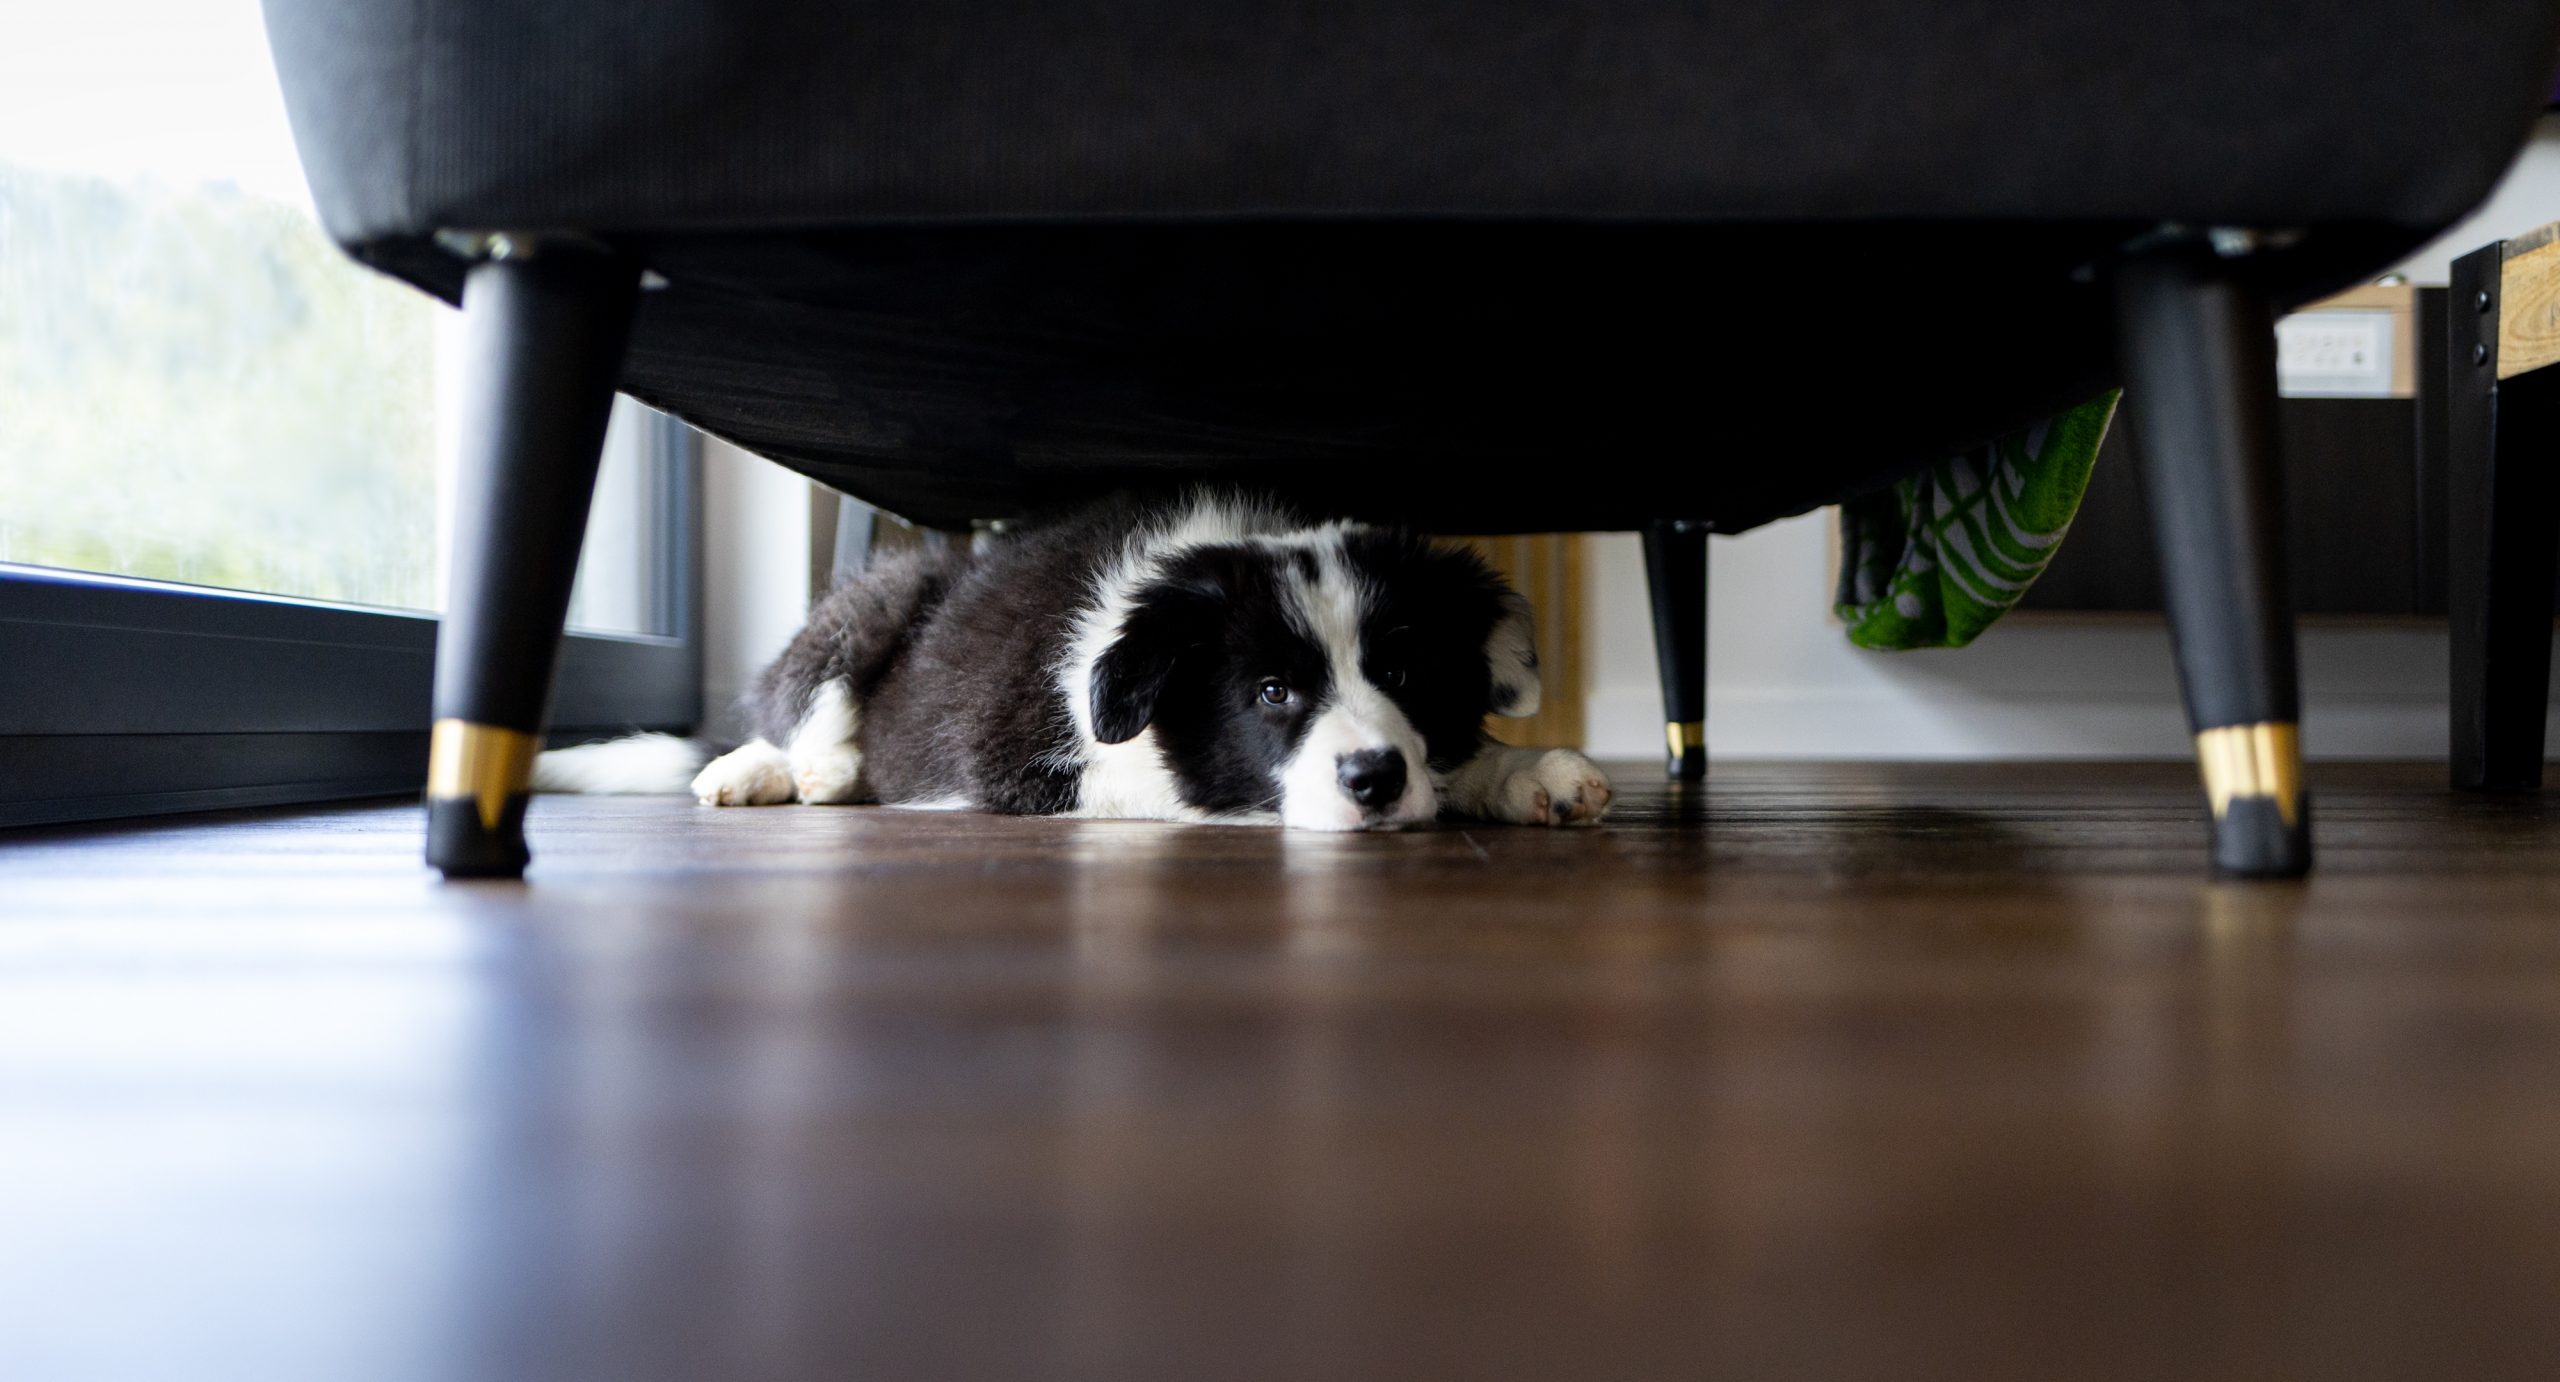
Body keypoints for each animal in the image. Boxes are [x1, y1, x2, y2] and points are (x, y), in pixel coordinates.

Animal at [535, 491, 1617, 824]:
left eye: (1402, 673)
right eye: (1271, 692)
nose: (1374, 780)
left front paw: (1524, 772)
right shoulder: (1025, 763)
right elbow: (1185, 780)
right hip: (874, 597)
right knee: (787, 710)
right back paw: (782, 770)